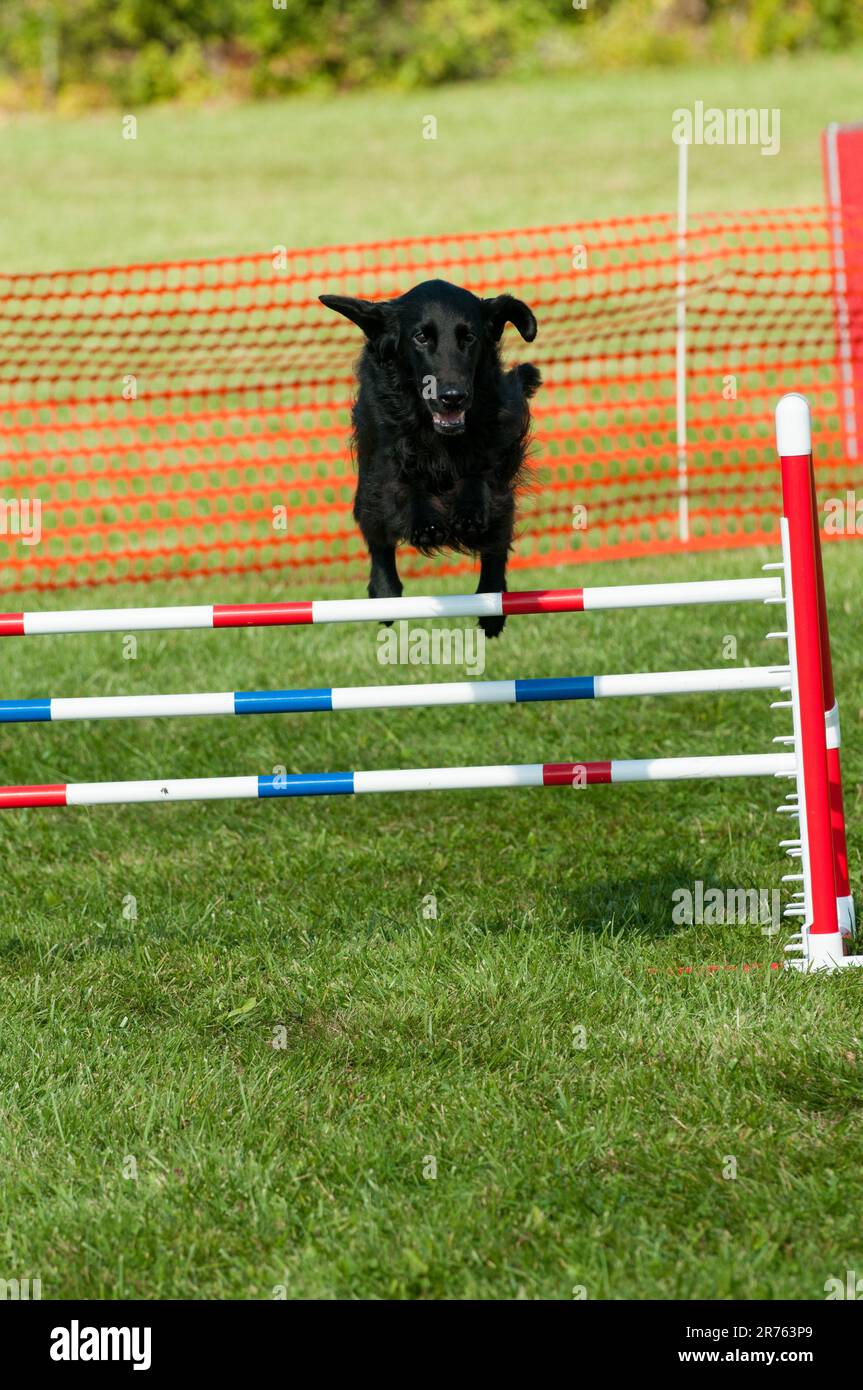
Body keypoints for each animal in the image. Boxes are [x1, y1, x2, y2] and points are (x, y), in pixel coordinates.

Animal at [319, 279, 541, 636]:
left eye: (469, 337)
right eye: (421, 337)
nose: (452, 397)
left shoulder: (495, 449)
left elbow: (479, 478)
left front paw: (468, 511)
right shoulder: (385, 458)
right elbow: (405, 484)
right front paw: (426, 522)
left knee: (495, 543)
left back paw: (493, 605)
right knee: (379, 541)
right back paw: (385, 595)